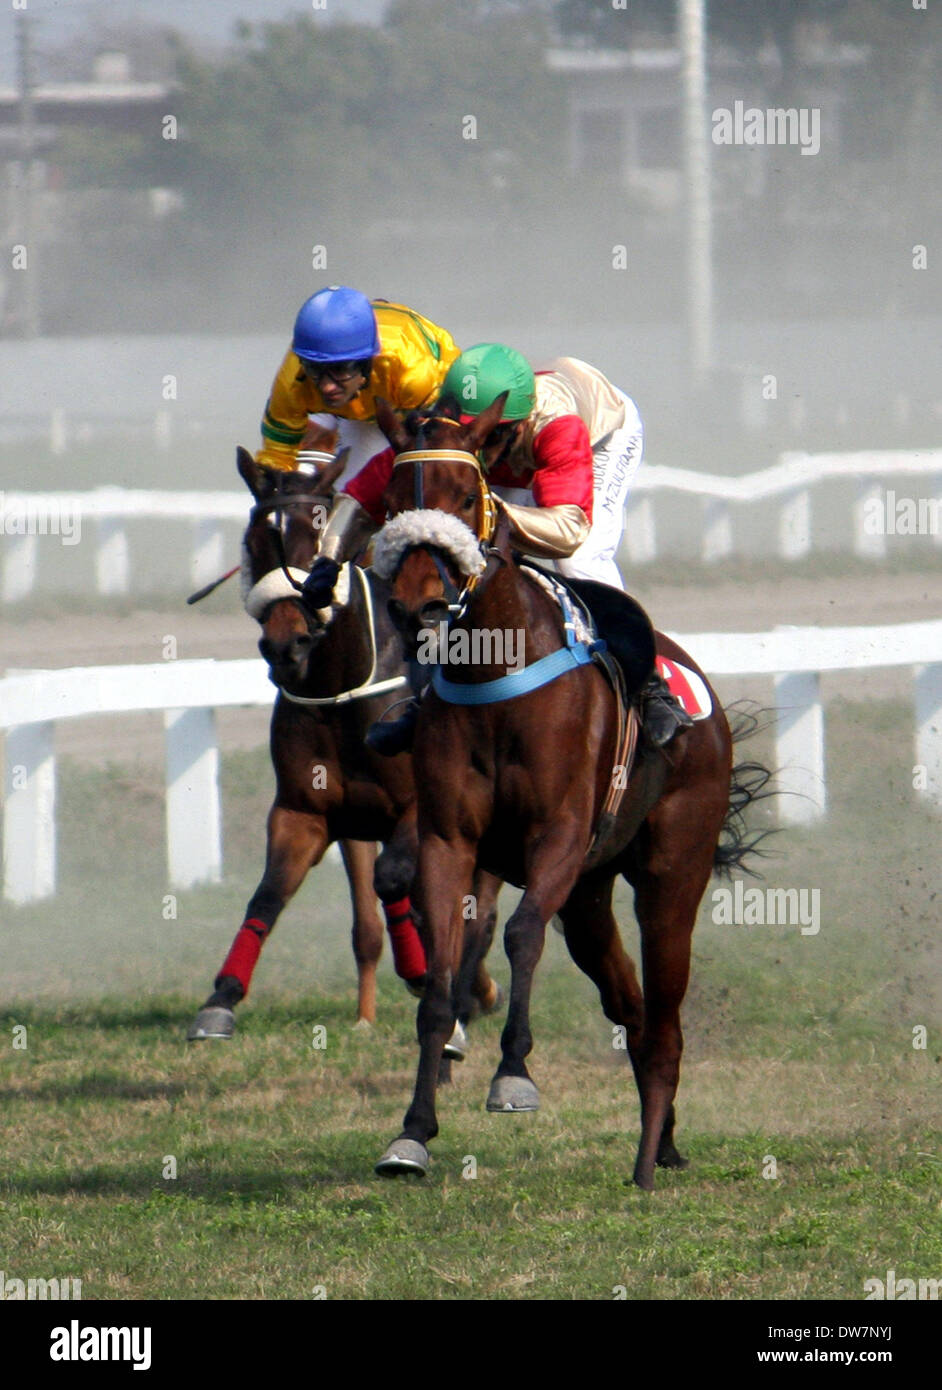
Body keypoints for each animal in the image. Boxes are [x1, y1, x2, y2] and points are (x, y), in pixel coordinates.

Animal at [187, 440, 502, 1053]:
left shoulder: (420, 807)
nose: (287, 643)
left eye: (319, 538)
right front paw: (220, 1001)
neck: (339, 686)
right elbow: (269, 895)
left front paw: (428, 975)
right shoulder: (305, 810)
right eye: (256, 541)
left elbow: (398, 881)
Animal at [367, 396, 771, 1189]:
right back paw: (662, 1134)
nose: (417, 608)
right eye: (396, 502)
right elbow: (439, 986)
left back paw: (647, 1163)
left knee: (665, 1015)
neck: (495, 673)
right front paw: (413, 1132)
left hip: (671, 877)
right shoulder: (448, 839)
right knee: (634, 1009)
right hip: (588, 897)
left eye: (466, 497)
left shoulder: (556, 834)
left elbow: (522, 935)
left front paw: (513, 1076)